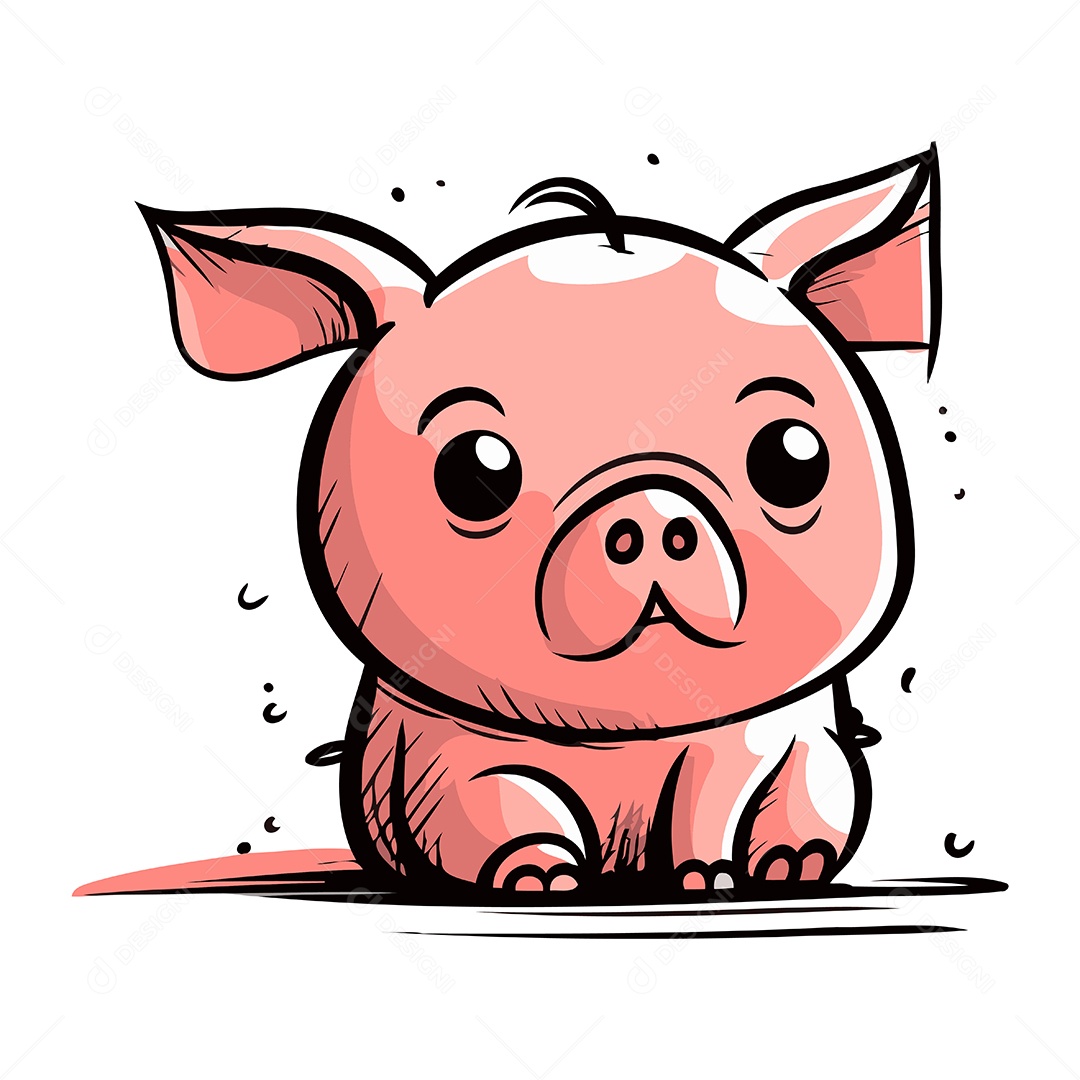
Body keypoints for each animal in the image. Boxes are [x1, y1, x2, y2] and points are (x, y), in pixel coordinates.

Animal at [141, 147, 938, 899]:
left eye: (793, 456)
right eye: (474, 470)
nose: (650, 506)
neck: (621, 737)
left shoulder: (752, 738)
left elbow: (715, 798)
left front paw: (715, 878)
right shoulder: (447, 753)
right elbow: (503, 804)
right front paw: (539, 881)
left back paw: (792, 866)